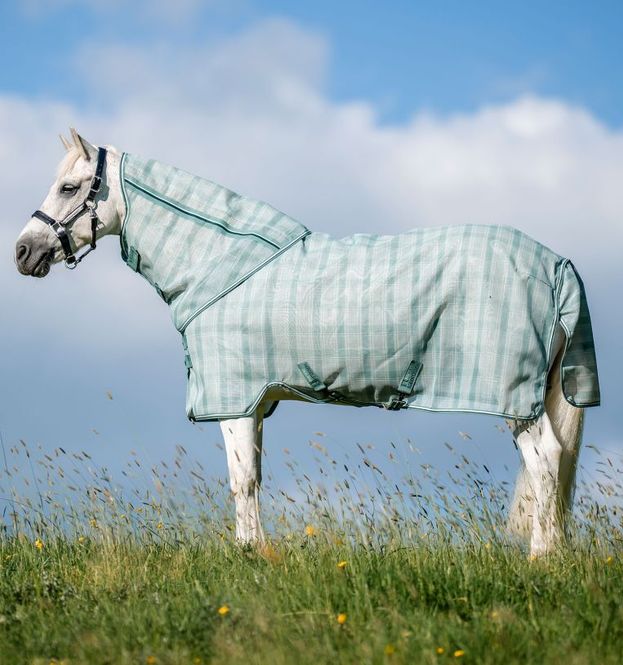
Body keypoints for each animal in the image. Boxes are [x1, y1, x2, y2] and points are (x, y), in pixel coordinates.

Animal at [14, 130, 600, 557]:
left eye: (69, 188)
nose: (24, 252)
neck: (222, 265)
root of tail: (555, 264)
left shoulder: (233, 400)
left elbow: (241, 481)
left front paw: (248, 553)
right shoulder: (257, 403)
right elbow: (252, 476)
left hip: (515, 400)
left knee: (546, 461)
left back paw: (541, 558)